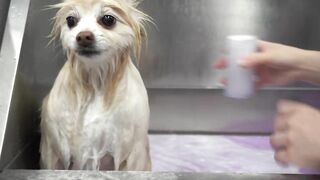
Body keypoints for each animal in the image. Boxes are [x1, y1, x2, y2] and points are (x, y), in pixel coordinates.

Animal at [40, 0, 151, 170]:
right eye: (70, 20)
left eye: (108, 19)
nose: (83, 36)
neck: (96, 83)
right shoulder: (53, 152)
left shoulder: (133, 154)